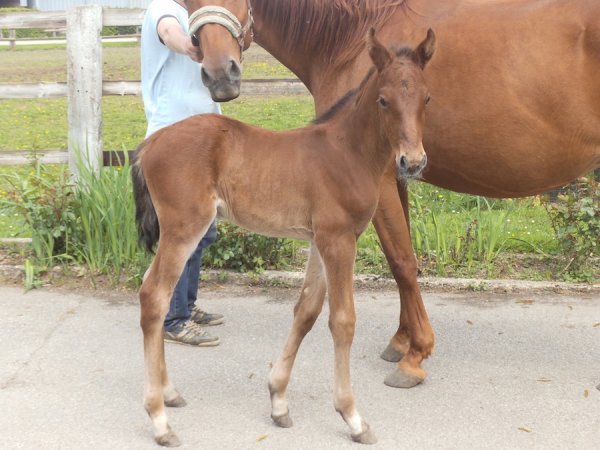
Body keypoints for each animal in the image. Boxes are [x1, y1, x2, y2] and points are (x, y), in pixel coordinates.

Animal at [134, 30, 436, 446]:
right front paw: (353, 418)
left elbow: (306, 311)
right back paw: (160, 420)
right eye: (383, 100)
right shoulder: (339, 241)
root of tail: (149, 144)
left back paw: (170, 393)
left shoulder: (319, 240)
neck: (347, 152)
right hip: (184, 228)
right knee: (154, 296)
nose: (413, 162)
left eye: (426, 98)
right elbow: (343, 321)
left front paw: (278, 401)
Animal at [191, 0, 600, 388]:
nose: (220, 74)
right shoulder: (399, 175)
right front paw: (402, 341)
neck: (349, 39)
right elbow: (404, 259)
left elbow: (401, 260)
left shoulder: (382, 178)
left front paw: (415, 356)